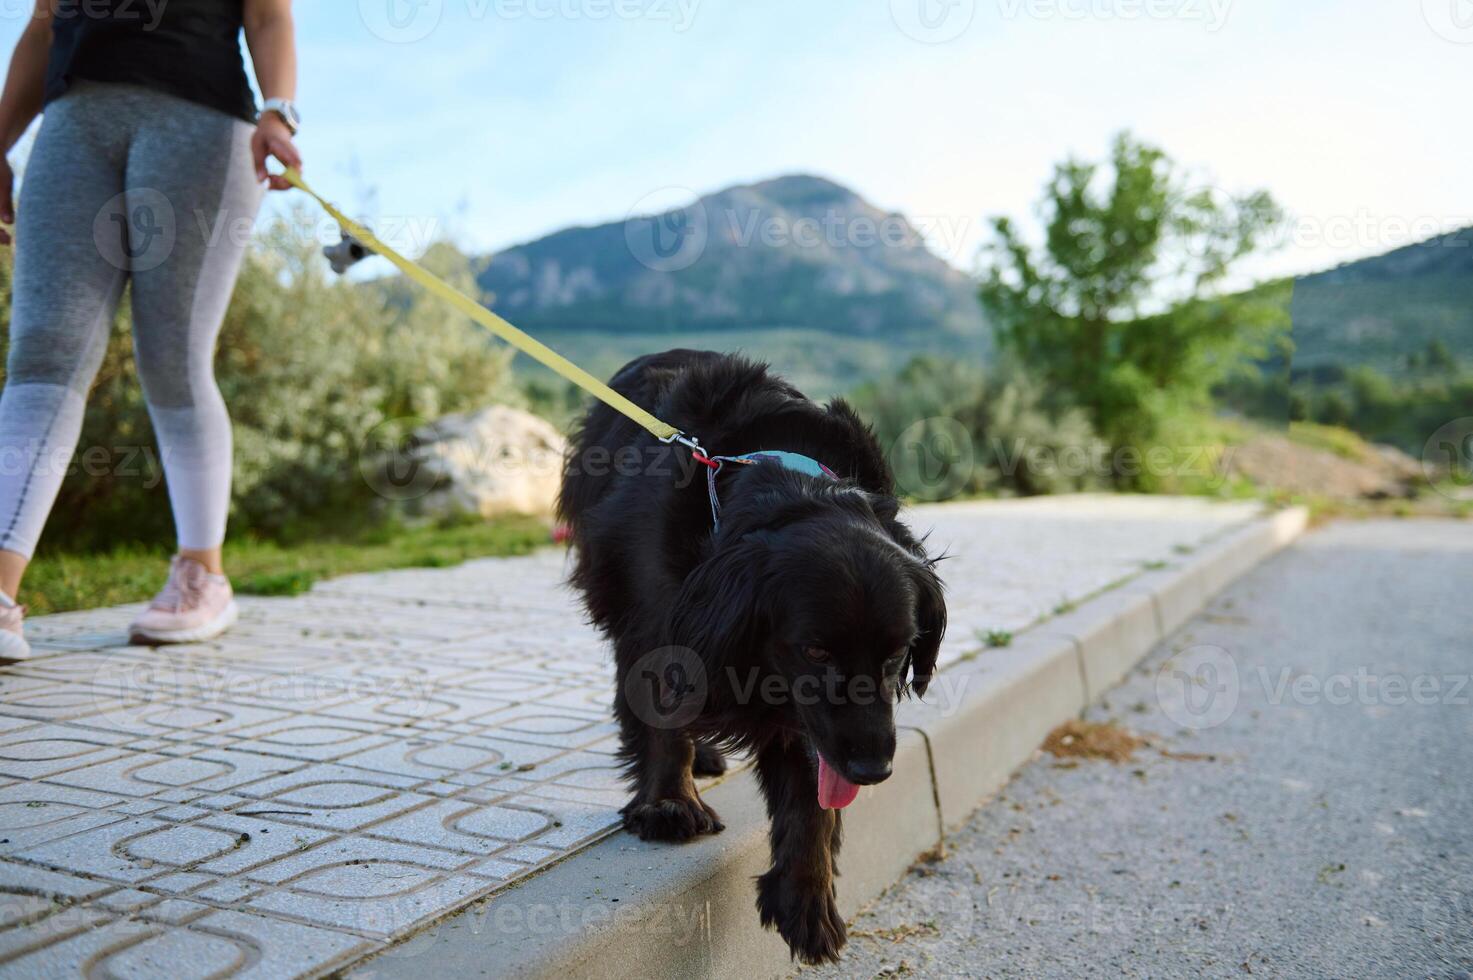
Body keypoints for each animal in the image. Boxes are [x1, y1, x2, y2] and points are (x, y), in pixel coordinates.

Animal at [553, 347, 942, 960]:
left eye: (899, 649)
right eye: (815, 650)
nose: (874, 770)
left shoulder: (808, 711)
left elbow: (810, 789)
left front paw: (806, 896)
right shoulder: (661, 613)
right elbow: (663, 711)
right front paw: (670, 803)